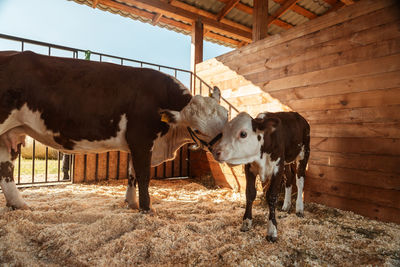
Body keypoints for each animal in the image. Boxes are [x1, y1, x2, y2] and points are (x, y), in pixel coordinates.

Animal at [0, 51, 228, 213]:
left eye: (226, 116)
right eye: (197, 129)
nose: (223, 150)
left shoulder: (137, 145)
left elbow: (132, 174)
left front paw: (131, 203)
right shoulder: (141, 139)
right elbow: (143, 175)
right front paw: (147, 209)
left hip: (9, 134)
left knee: (6, 169)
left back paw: (19, 205)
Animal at [211, 112, 310, 242]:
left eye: (243, 134)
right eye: (223, 132)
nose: (216, 151)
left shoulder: (278, 167)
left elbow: (271, 196)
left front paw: (272, 230)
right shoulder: (249, 168)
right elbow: (250, 193)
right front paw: (246, 222)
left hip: (304, 153)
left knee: (300, 180)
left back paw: (299, 208)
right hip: (287, 162)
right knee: (289, 178)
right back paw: (286, 205)